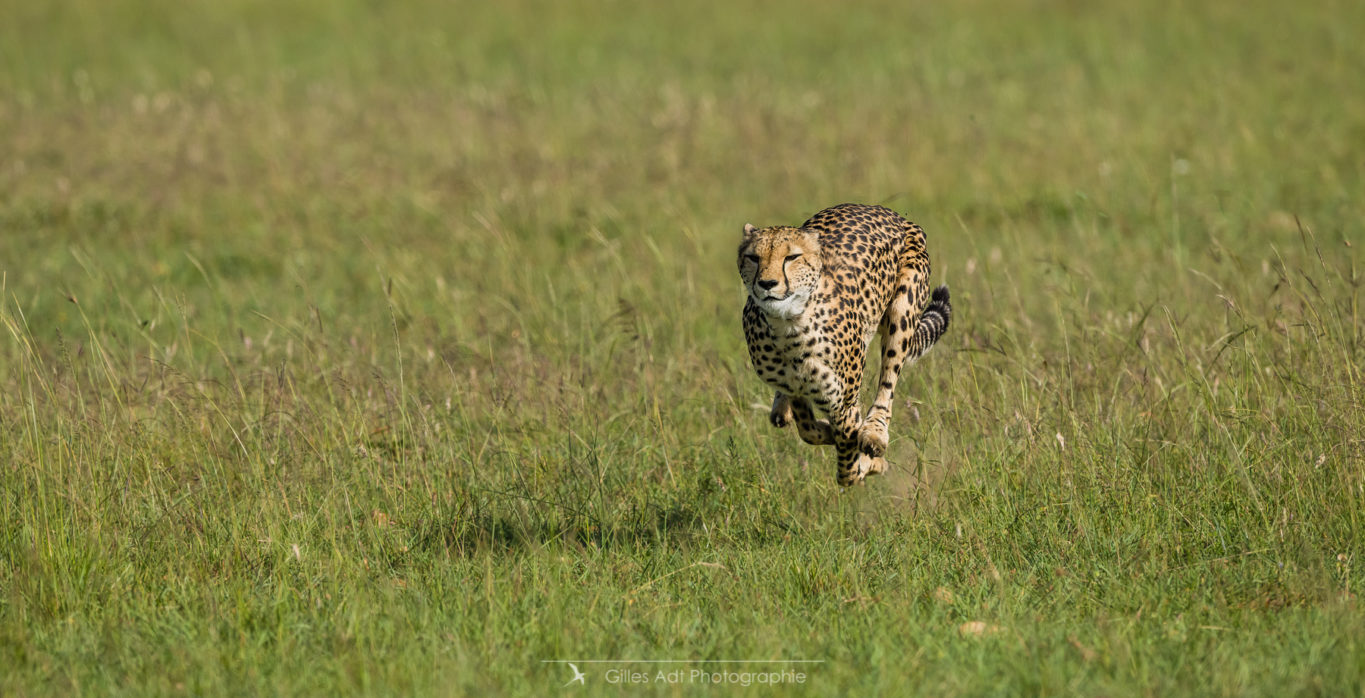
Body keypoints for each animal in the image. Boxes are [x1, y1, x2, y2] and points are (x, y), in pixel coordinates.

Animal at [737, 202, 950, 486]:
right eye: (753, 257)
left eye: (792, 257)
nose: (767, 284)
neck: (788, 326)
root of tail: (883, 210)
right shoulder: (795, 387)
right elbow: (808, 429)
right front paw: (825, 432)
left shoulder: (844, 404)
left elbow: (847, 469)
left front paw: (871, 463)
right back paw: (781, 409)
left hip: (903, 309)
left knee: (888, 380)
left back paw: (874, 432)